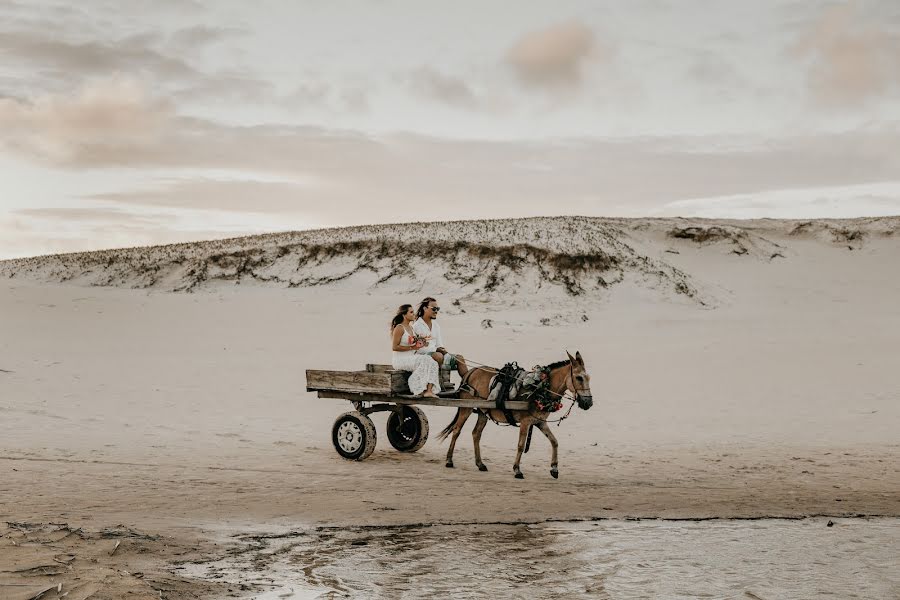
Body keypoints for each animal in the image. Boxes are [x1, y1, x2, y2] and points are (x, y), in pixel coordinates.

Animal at [434, 352, 596, 478]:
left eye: (588, 378)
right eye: (579, 378)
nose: (588, 403)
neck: (540, 389)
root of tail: (471, 371)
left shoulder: (539, 422)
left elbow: (554, 441)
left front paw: (554, 468)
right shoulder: (525, 422)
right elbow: (520, 445)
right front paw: (517, 470)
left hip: (483, 412)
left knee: (476, 434)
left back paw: (480, 464)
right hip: (465, 408)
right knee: (456, 431)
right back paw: (449, 460)